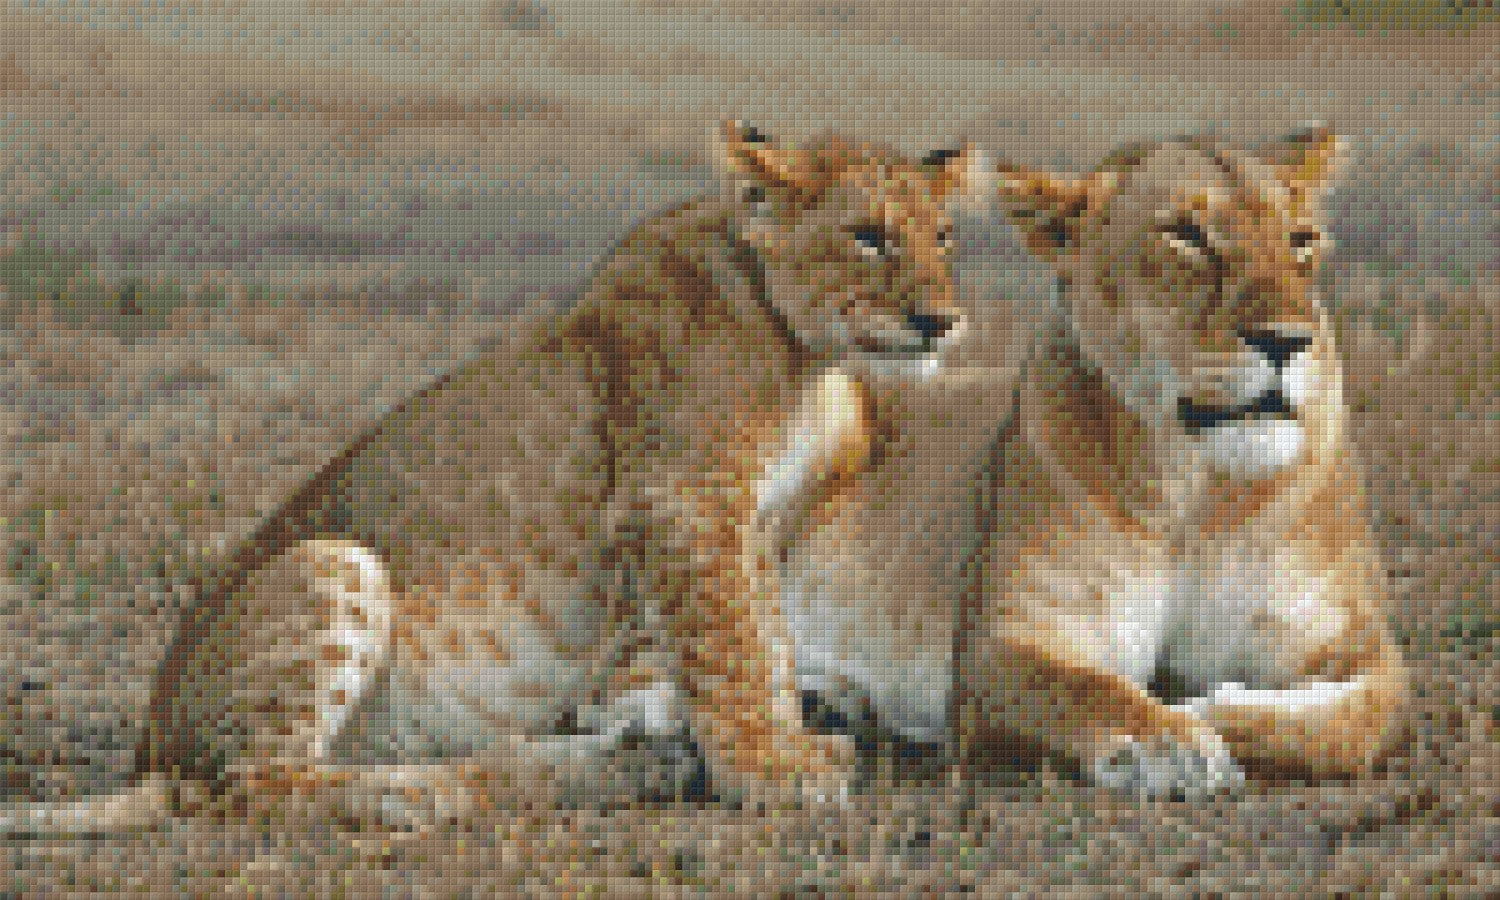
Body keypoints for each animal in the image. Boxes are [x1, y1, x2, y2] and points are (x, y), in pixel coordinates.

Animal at [0, 121, 987, 833]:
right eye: (868, 236)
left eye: (944, 237)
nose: (942, 322)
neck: (805, 355)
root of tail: (147, 749)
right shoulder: (683, 502)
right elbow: (732, 646)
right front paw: (771, 772)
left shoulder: (756, 519)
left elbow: (767, 643)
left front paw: (782, 744)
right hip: (334, 562)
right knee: (246, 787)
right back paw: (436, 793)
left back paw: (601, 766)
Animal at [782, 127, 1410, 800]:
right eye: (1186, 234)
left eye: (1301, 239)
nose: (1289, 340)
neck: (1194, 489)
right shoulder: (1000, 646)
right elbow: (1083, 690)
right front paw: (1170, 741)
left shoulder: (1356, 644)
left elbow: (1351, 725)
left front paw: (1199, 710)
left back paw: (837, 702)